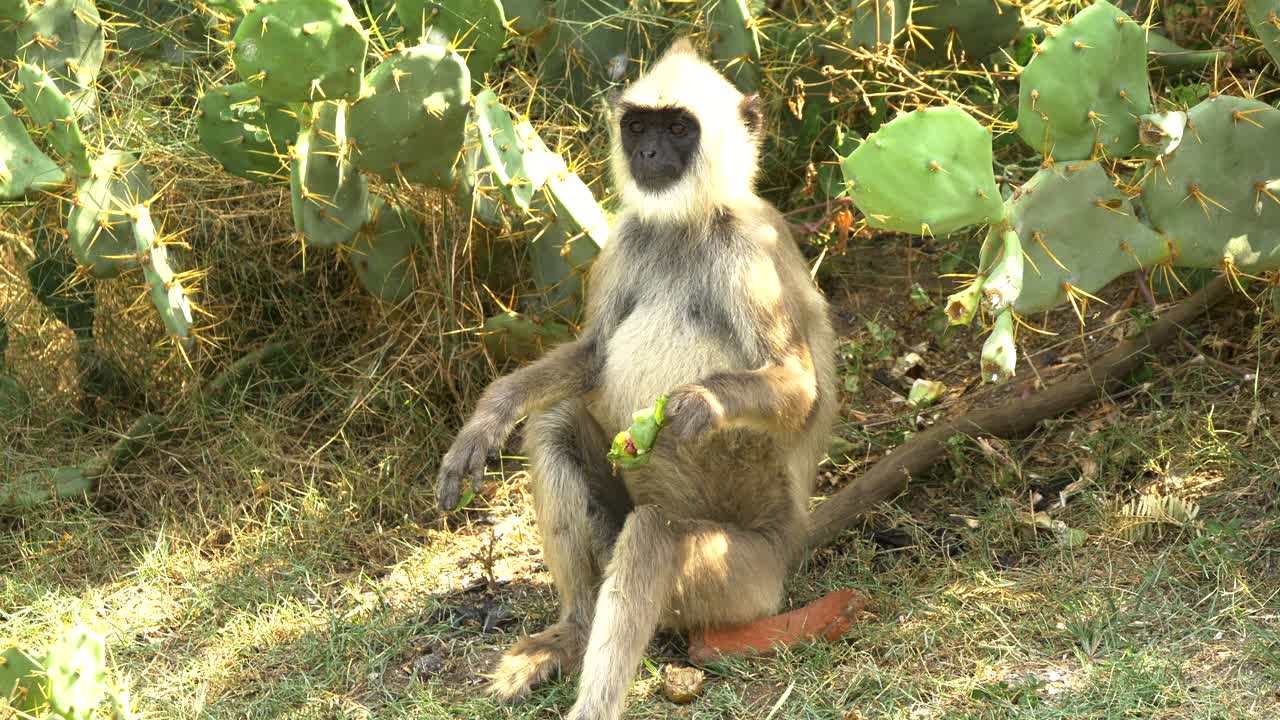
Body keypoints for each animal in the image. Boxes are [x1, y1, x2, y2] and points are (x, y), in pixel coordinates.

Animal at [434, 38, 837, 720]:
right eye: (639, 126)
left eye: (678, 129)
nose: (648, 153)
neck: (686, 226)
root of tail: (794, 542)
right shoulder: (626, 238)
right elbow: (594, 355)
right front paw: (488, 418)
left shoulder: (747, 249)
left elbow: (800, 387)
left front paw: (700, 404)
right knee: (556, 425)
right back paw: (573, 631)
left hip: (751, 576)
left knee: (654, 535)